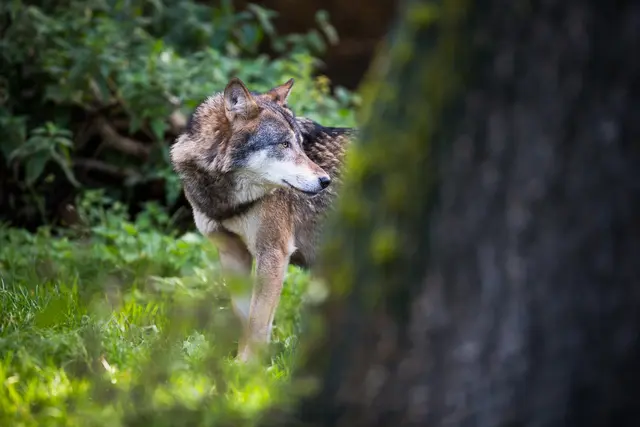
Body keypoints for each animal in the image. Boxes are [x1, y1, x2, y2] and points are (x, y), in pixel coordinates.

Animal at [170, 77, 355, 361]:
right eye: (284, 144)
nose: (325, 181)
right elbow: (244, 317)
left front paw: (247, 367)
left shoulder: (273, 253)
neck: (227, 201)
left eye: (300, 143)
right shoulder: (231, 252)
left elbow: (257, 322)